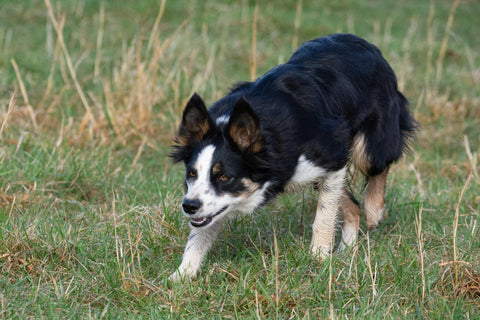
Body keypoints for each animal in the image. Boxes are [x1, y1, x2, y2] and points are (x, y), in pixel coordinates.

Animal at [169, 33, 416, 282]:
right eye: (192, 173)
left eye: (224, 177)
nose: (188, 206)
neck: (265, 135)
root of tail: (361, 41)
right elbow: (199, 232)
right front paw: (182, 275)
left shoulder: (333, 155)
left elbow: (324, 215)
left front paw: (318, 257)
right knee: (353, 206)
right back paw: (347, 251)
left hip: (370, 144)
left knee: (380, 165)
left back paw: (374, 211)